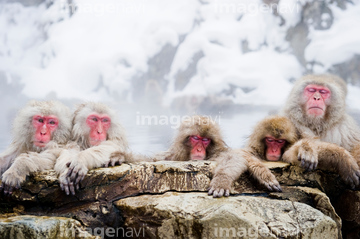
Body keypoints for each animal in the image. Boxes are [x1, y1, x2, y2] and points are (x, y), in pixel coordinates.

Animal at [155, 115, 284, 197]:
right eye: (195, 138)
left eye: (205, 140)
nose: (199, 149)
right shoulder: (168, 155)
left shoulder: (218, 153)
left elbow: (233, 157)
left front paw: (221, 181)